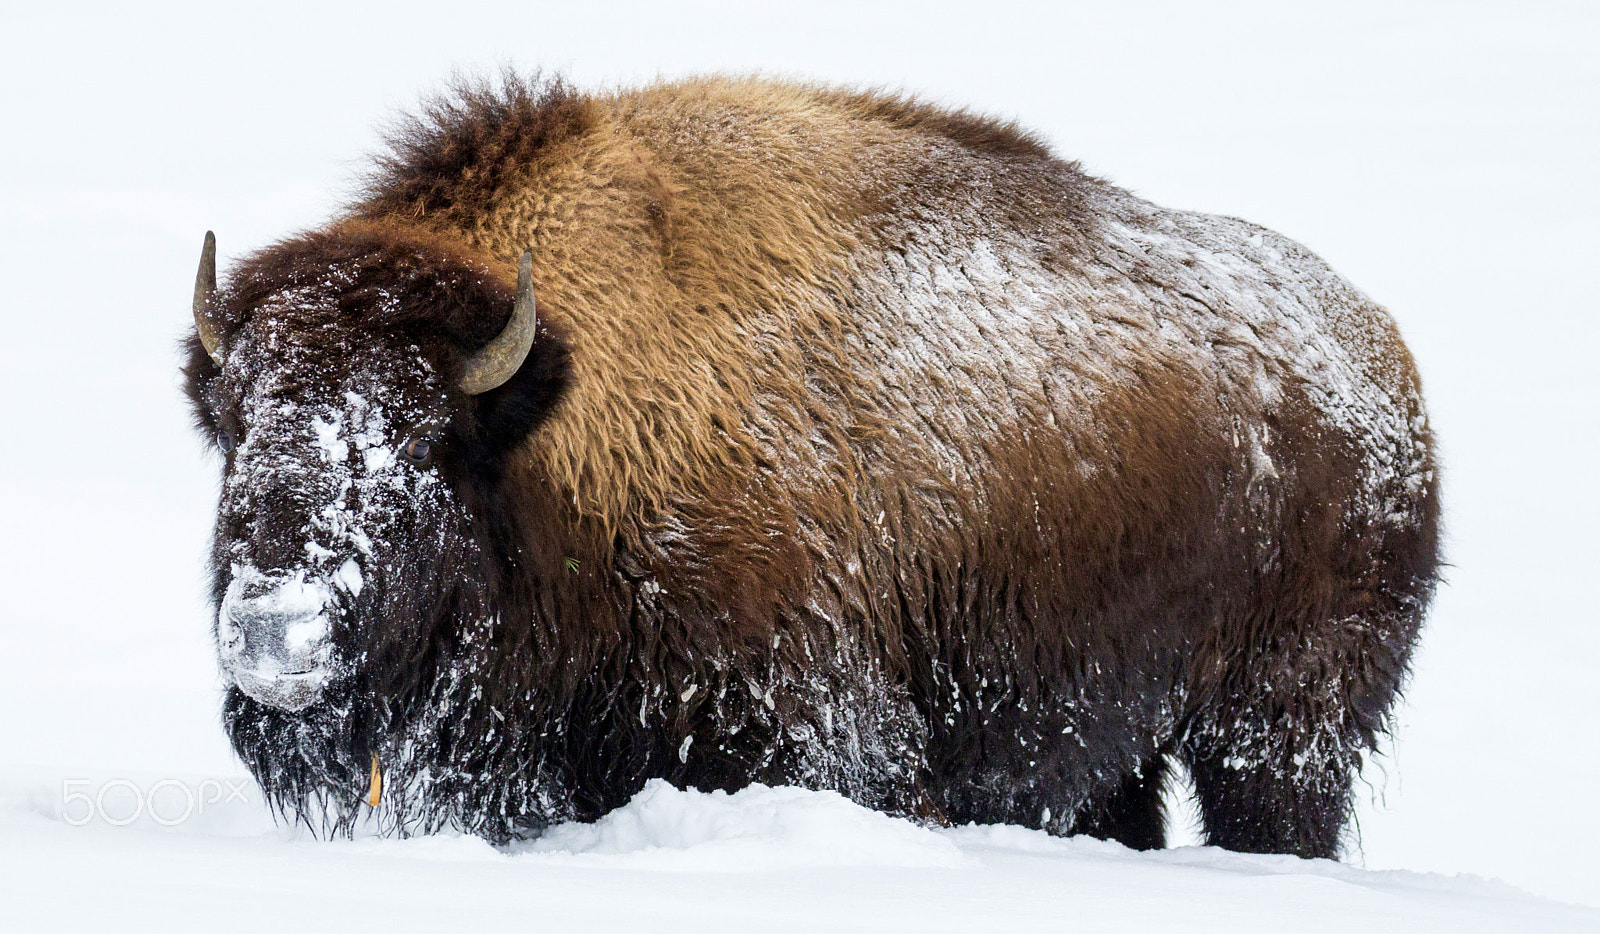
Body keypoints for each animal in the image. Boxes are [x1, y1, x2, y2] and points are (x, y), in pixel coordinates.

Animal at [184, 74, 1439, 856]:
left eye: (419, 436)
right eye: (235, 423)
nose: (274, 633)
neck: (556, 414)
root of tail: (1381, 355)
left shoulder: (822, 729)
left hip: (1279, 727)